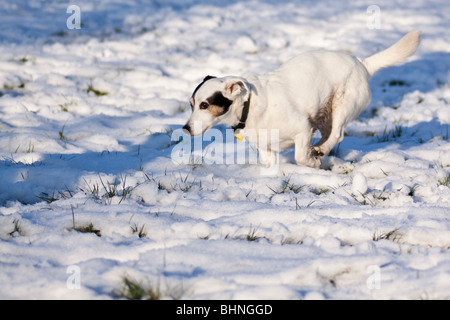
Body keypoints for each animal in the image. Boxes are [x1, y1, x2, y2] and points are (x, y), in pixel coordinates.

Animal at [183, 31, 422, 169]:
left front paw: (313, 161)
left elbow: (299, 156)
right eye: (191, 105)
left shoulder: (302, 130)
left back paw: (321, 150)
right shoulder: (267, 149)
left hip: (344, 104)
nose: (185, 128)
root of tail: (362, 63)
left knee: (338, 133)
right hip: (324, 113)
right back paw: (320, 147)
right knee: (329, 134)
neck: (248, 108)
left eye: (204, 105)